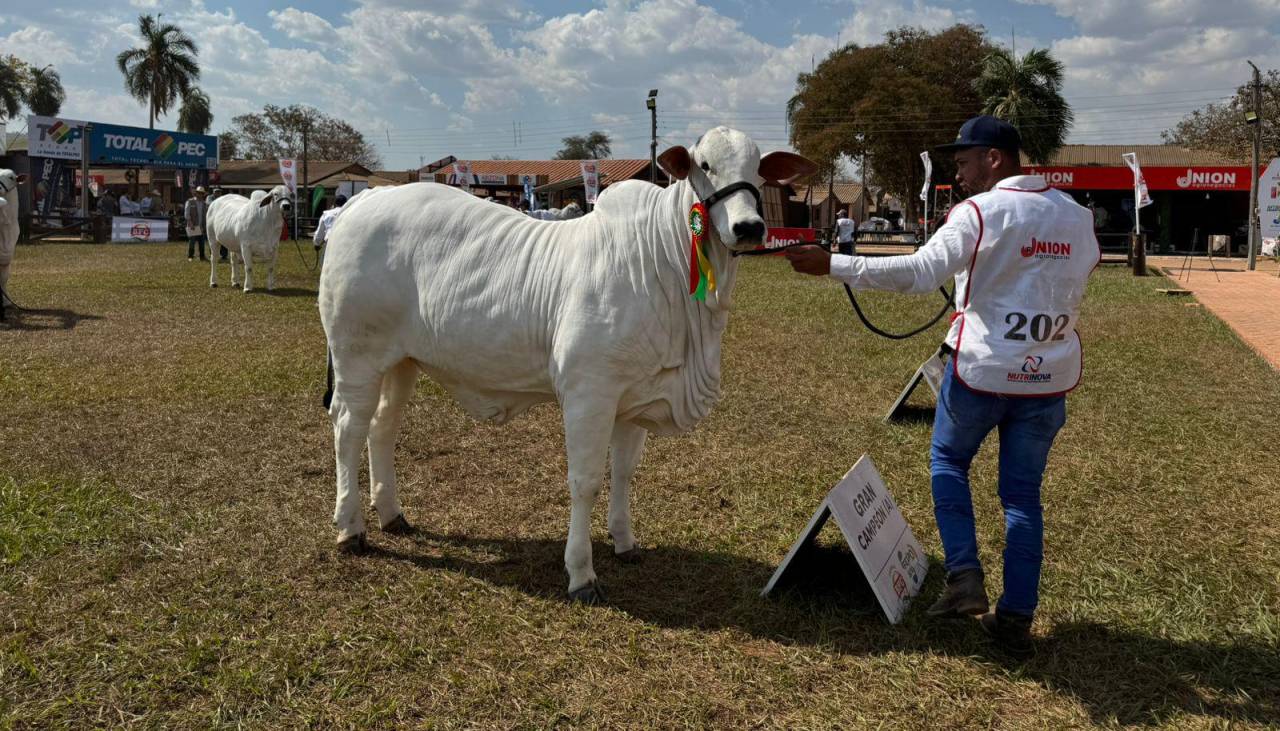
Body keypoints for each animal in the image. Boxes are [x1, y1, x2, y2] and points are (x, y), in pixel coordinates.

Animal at [322, 128, 819, 604]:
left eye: (758, 170)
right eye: (705, 164)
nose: (749, 227)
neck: (665, 263)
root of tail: (364, 201)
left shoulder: (634, 396)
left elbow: (624, 472)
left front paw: (625, 542)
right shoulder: (589, 393)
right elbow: (586, 481)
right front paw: (581, 574)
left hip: (401, 361)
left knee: (382, 428)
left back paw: (392, 515)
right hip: (356, 356)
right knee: (348, 430)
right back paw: (350, 528)